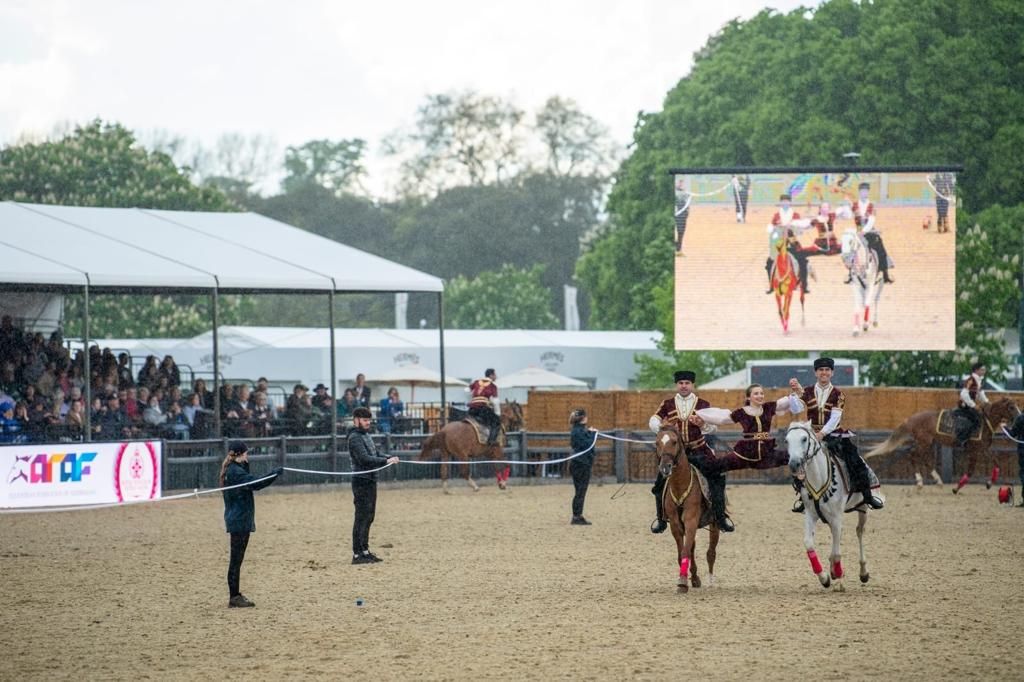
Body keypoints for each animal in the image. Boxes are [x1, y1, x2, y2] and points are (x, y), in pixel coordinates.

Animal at [655, 425, 720, 589]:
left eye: (674, 442)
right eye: (657, 443)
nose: (665, 467)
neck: (680, 485)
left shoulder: (691, 519)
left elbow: (686, 551)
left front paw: (683, 583)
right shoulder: (676, 524)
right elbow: (683, 552)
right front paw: (686, 578)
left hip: (714, 523)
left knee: (711, 552)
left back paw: (710, 580)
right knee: (692, 547)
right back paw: (695, 578)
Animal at [786, 421, 876, 585]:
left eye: (804, 439)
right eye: (786, 441)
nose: (794, 464)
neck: (819, 478)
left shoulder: (836, 517)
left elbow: (837, 551)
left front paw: (838, 574)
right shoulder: (811, 514)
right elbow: (809, 543)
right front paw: (824, 578)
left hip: (863, 507)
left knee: (859, 531)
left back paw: (863, 572)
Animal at [864, 395, 1024, 491]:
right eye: (1011, 407)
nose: (1019, 417)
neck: (984, 422)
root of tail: (912, 419)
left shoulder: (983, 448)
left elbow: (996, 463)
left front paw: (990, 483)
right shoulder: (974, 450)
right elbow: (971, 470)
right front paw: (956, 488)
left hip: (929, 443)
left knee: (925, 459)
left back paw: (938, 480)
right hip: (923, 442)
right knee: (913, 455)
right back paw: (920, 482)